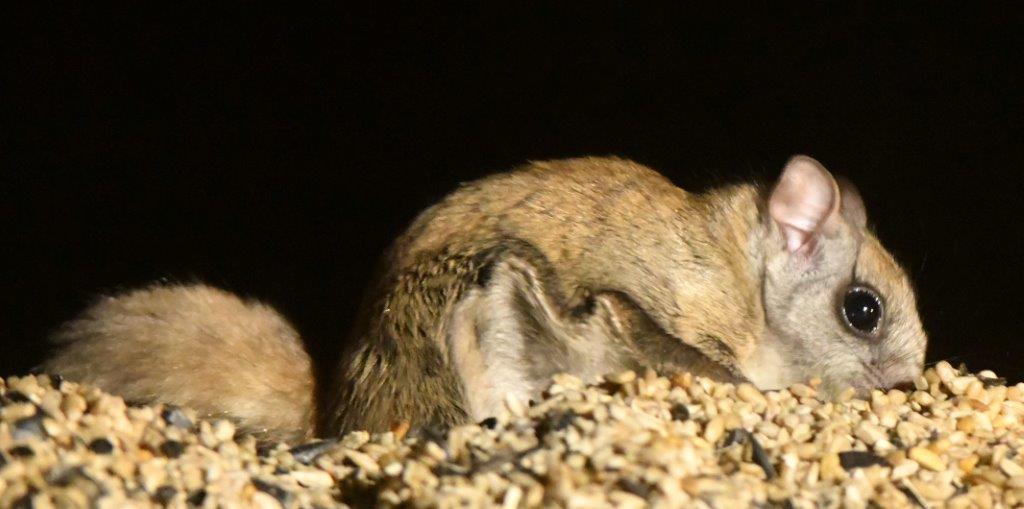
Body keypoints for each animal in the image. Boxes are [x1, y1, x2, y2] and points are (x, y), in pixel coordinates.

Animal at [43, 155, 928, 444]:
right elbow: (693, 357)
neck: (744, 280)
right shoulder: (648, 306)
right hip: (476, 307)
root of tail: (340, 407)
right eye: (863, 308)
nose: (908, 381)